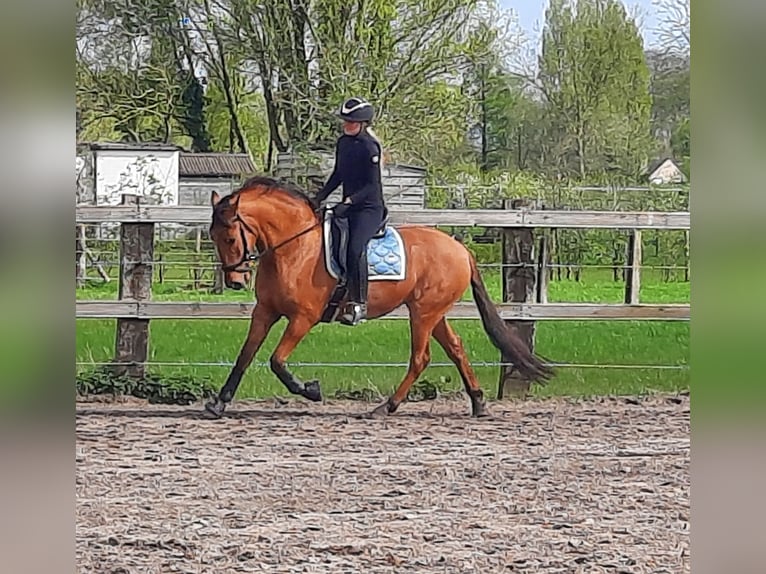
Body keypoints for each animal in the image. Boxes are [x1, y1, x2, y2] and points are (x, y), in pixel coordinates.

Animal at [204, 176, 552, 418]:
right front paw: (219, 404)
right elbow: (245, 356)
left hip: (423, 313)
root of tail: (460, 249)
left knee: (421, 358)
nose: (235, 281)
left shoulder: (304, 318)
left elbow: (277, 361)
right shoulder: (264, 312)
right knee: (455, 348)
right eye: (213, 236)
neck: (294, 248)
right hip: (433, 312)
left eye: (230, 237)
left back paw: (387, 406)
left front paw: (311, 390)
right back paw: (478, 403)